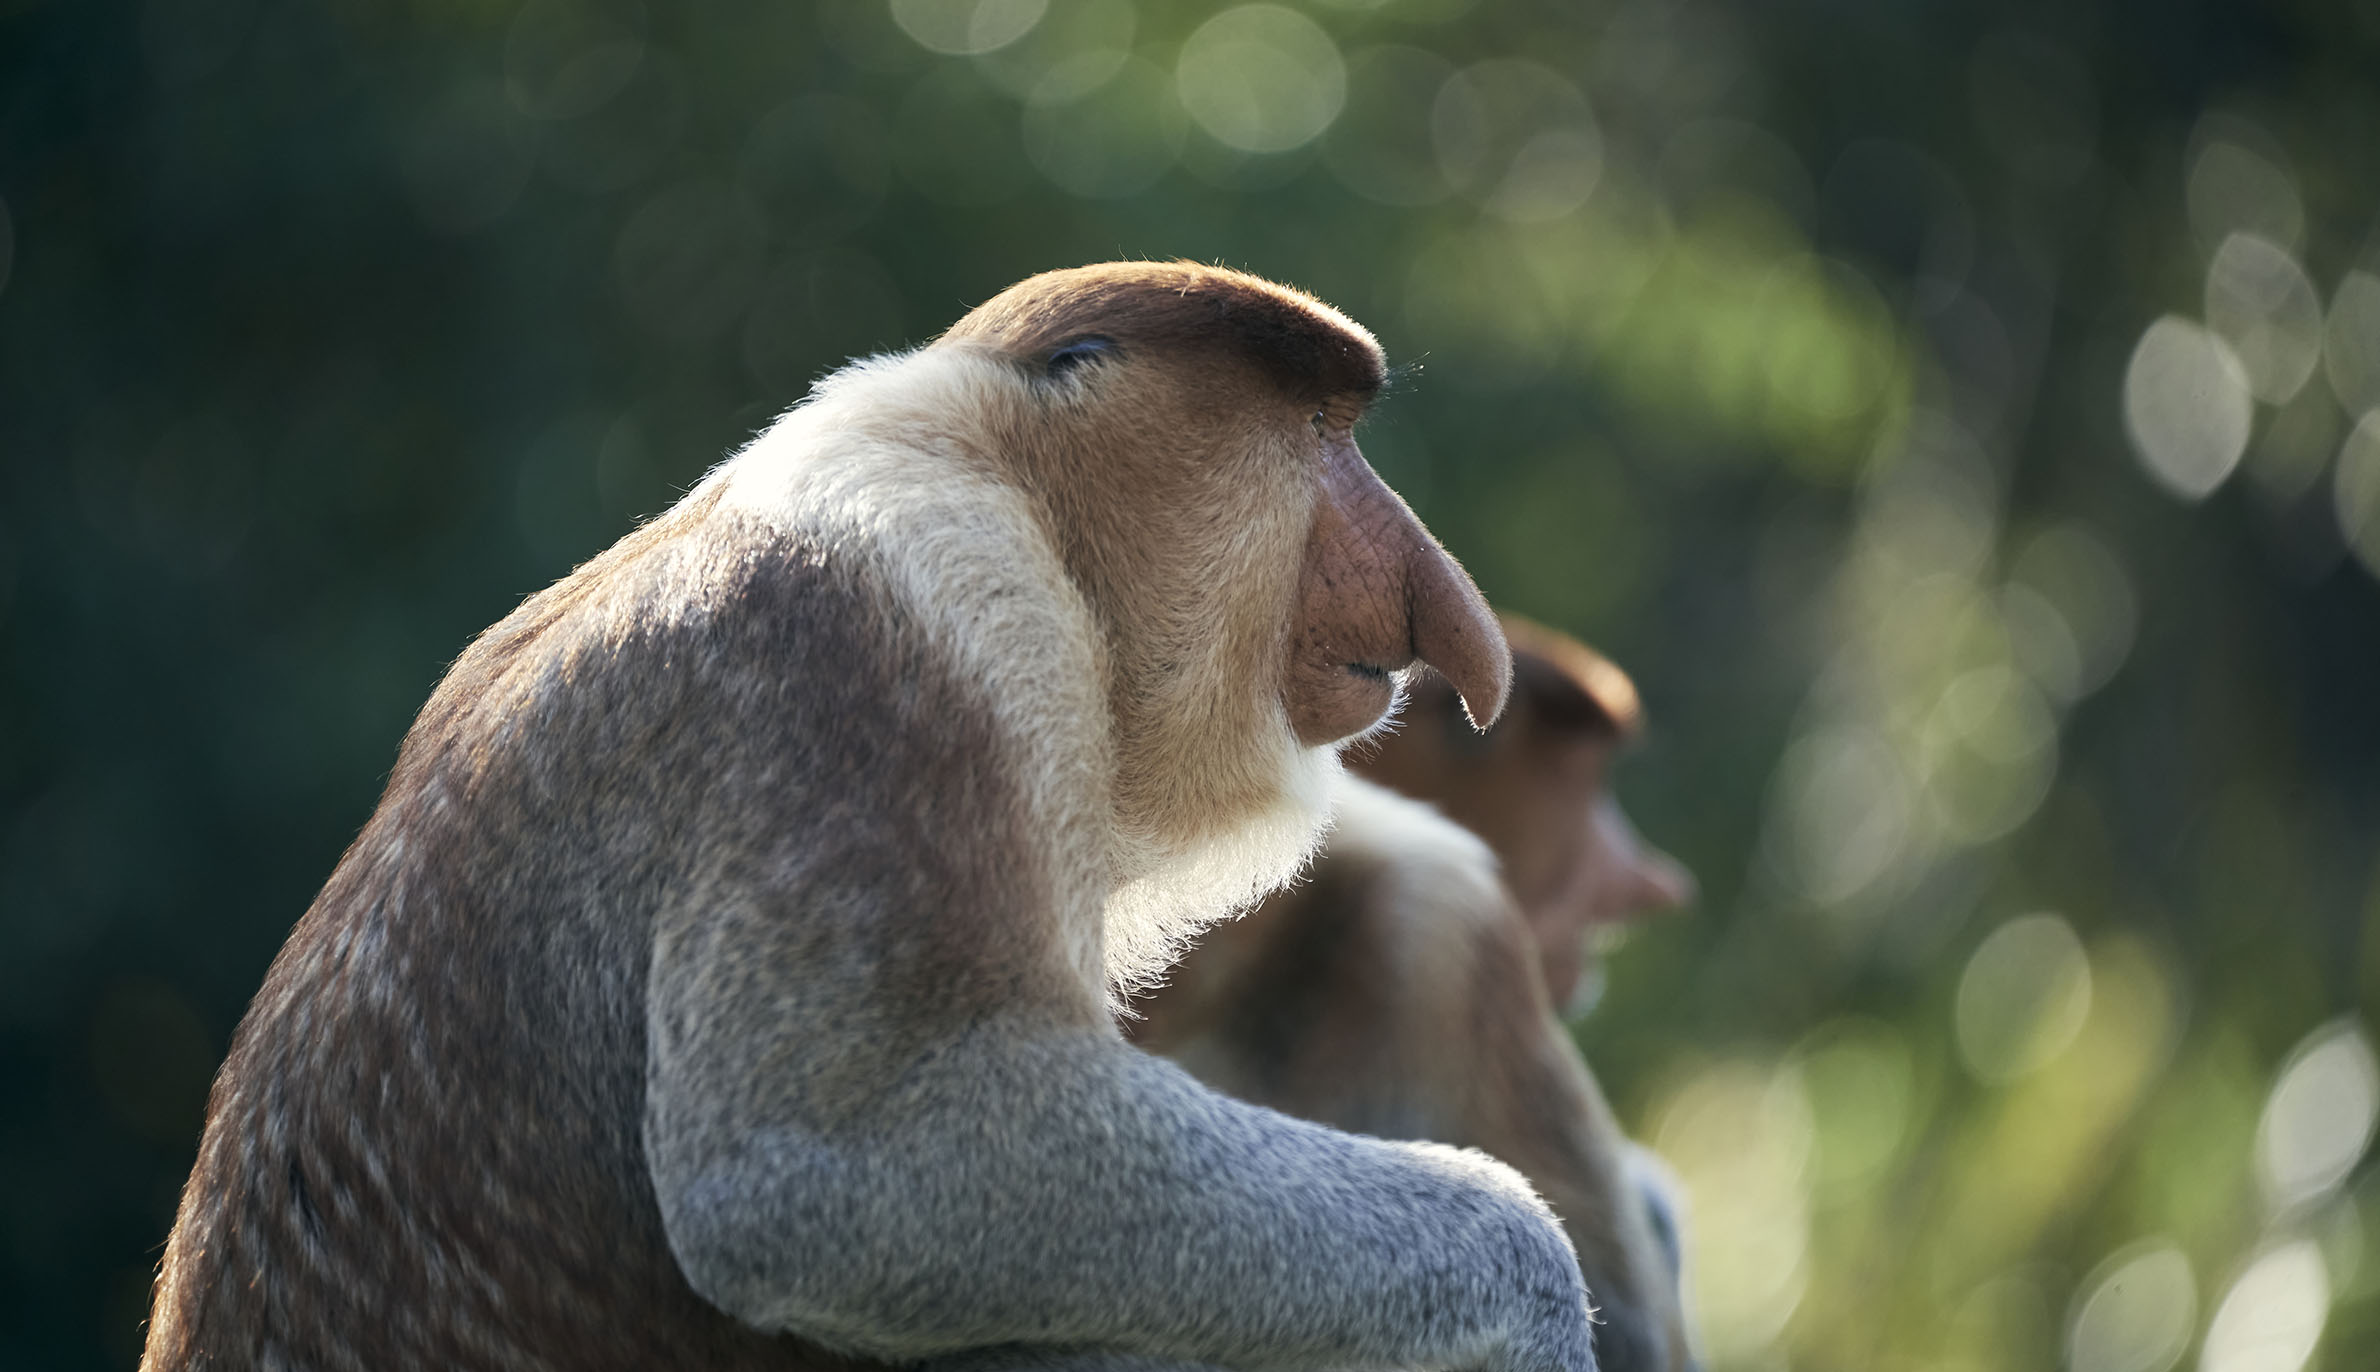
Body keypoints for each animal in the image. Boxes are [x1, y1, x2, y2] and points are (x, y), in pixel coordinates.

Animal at [141, 263, 1608, 1372]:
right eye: (1320, 437)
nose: (1453, 625)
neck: (993, 464)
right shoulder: (915, 625)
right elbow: (831, 1170)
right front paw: (1530, 1282)